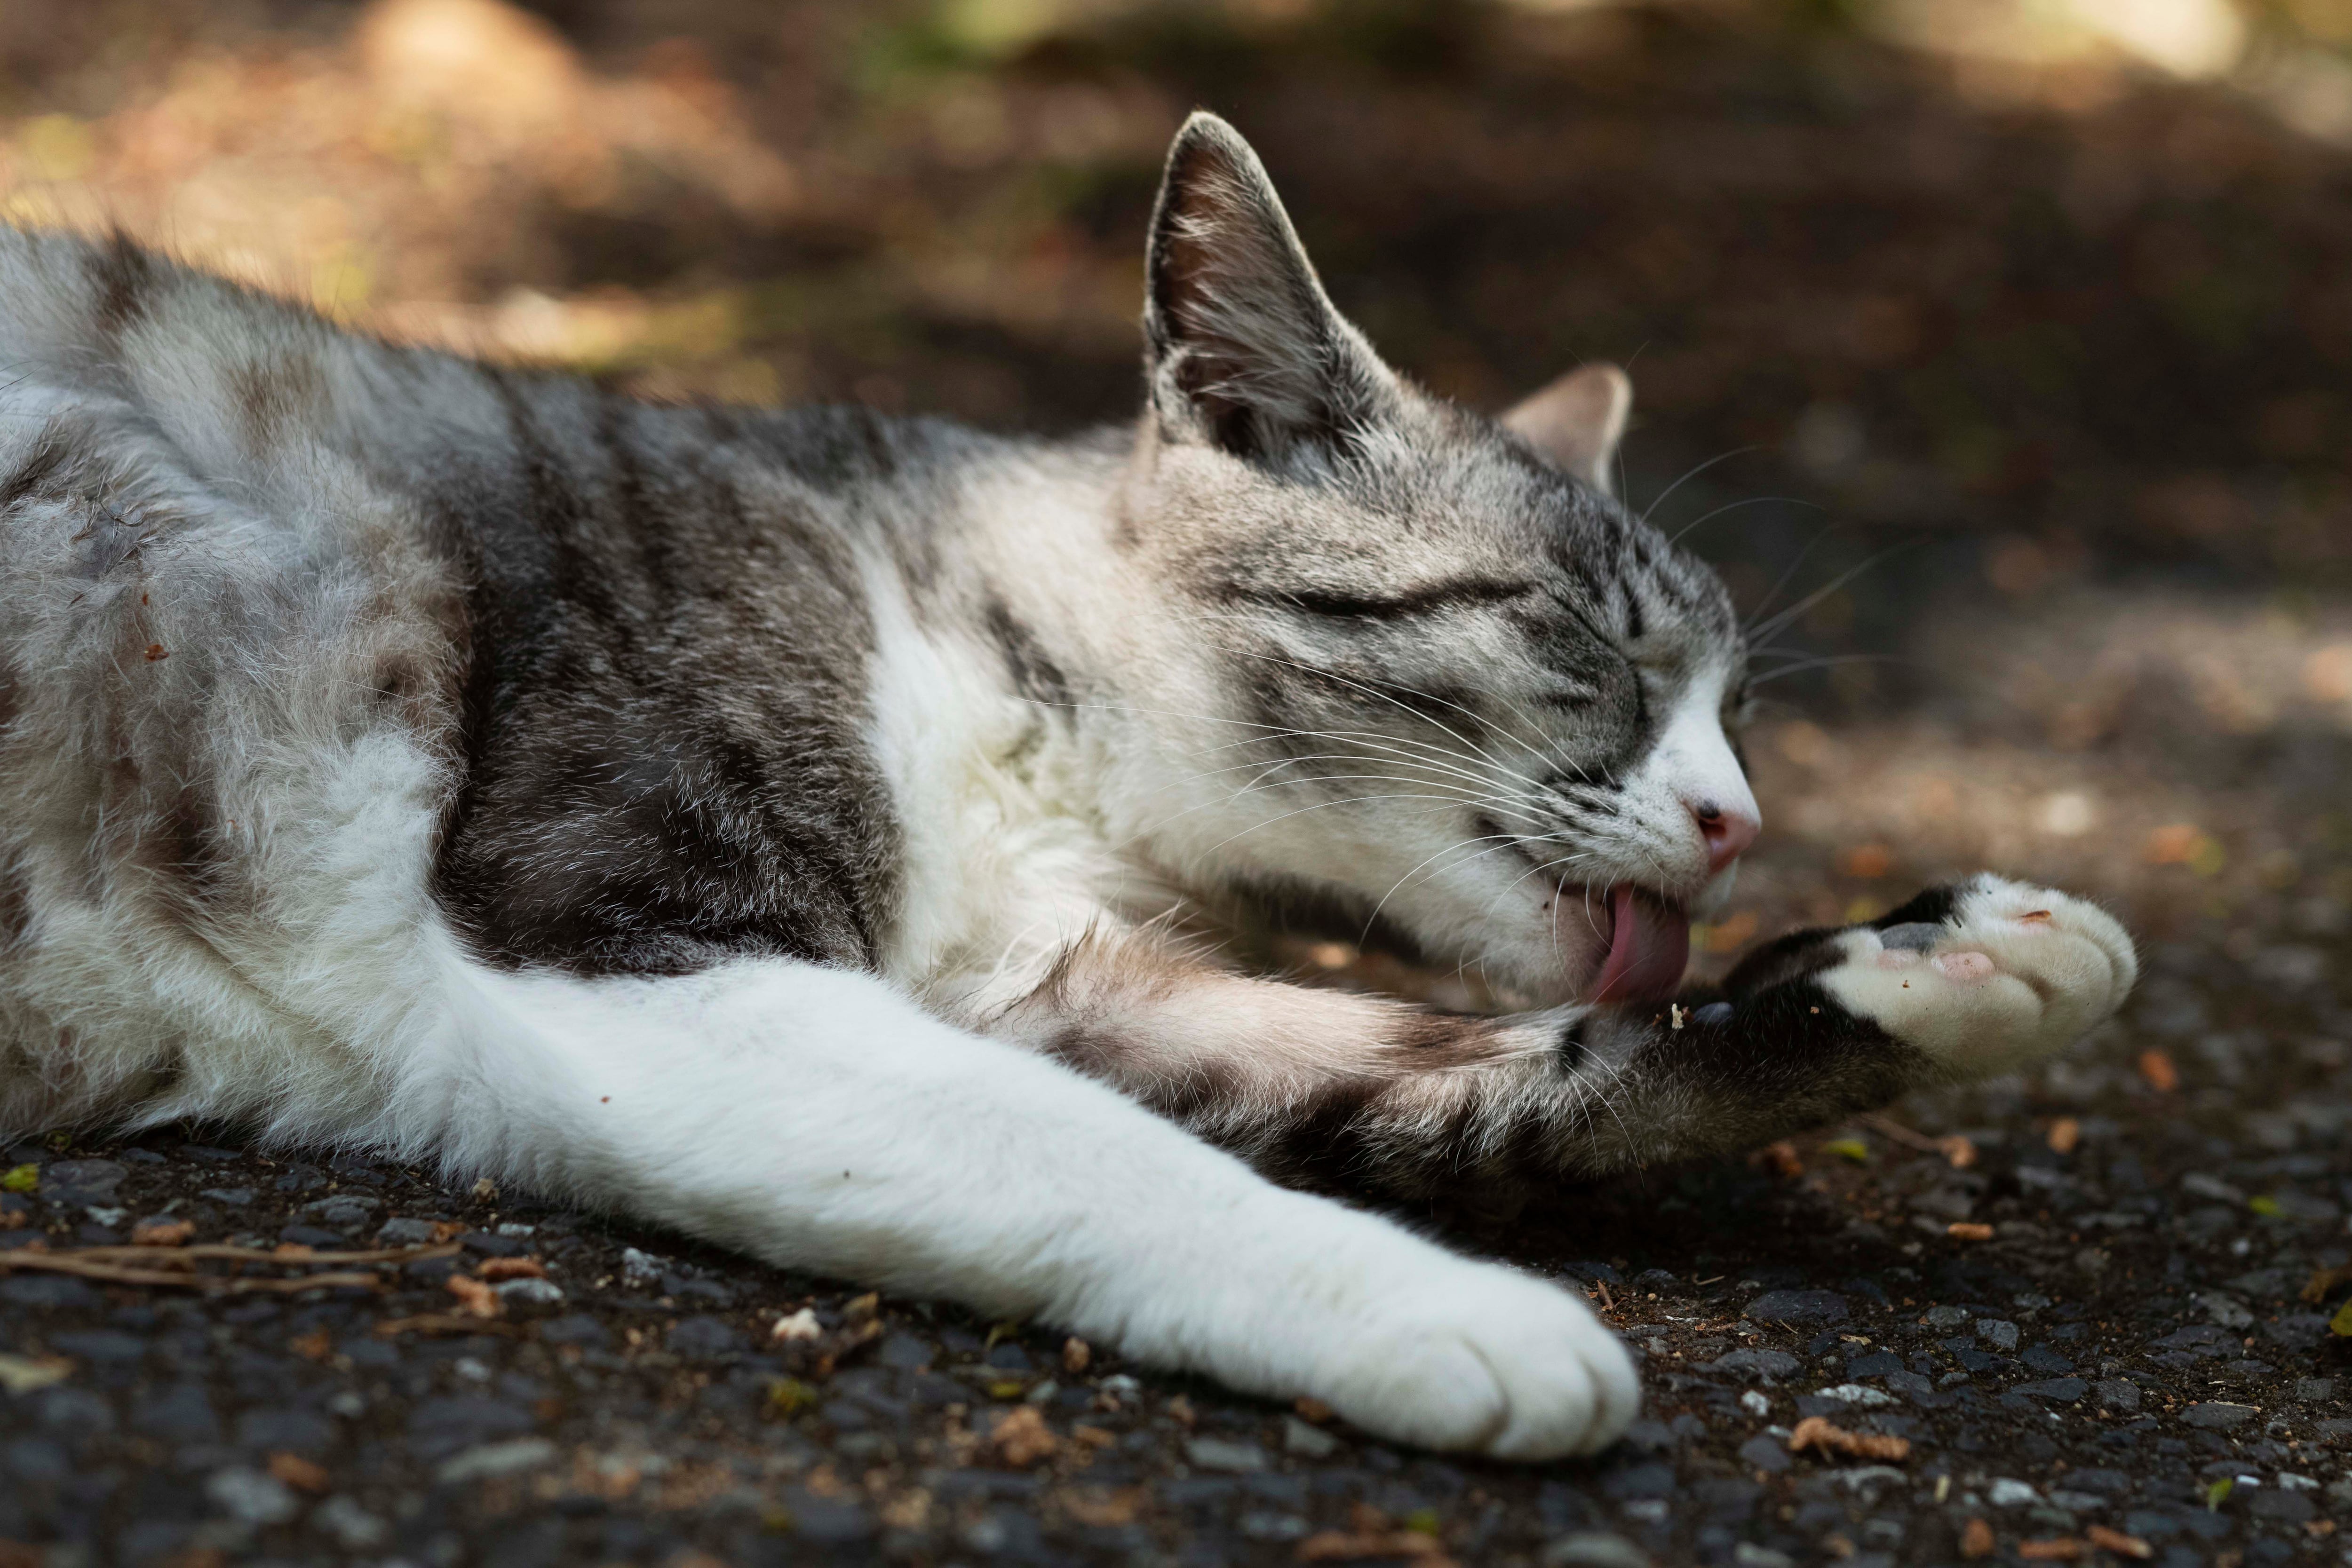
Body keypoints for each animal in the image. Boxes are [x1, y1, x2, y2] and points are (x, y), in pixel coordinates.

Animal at [0, 113, 2136, 1457]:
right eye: (1583, 641)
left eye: (1736, 708)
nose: (1736, 824)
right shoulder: (619, 949)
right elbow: (1087, 1152)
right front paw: (1463, 1317)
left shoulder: (1069, 984)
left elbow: (1455, 1079)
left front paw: (1924, 965)